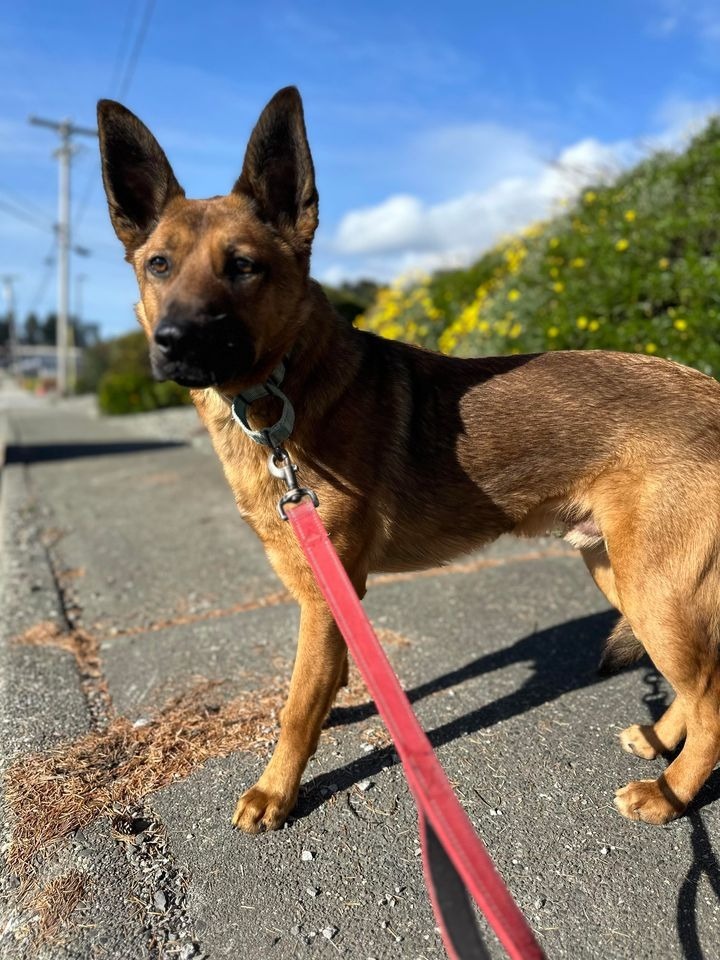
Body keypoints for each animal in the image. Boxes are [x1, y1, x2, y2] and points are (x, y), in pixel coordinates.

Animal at [98, 84, 720, 832]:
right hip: (618, 573)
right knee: (697, 685)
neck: (283, 390)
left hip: (655, 591)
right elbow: (328, 679)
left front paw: (276, 790)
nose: (174, 343)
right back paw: (660, 739)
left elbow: (298, 706)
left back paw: (672, 791)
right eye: (157, 265)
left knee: (712, 697)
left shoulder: (326, 595)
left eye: (243, 266)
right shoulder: (326, 596)